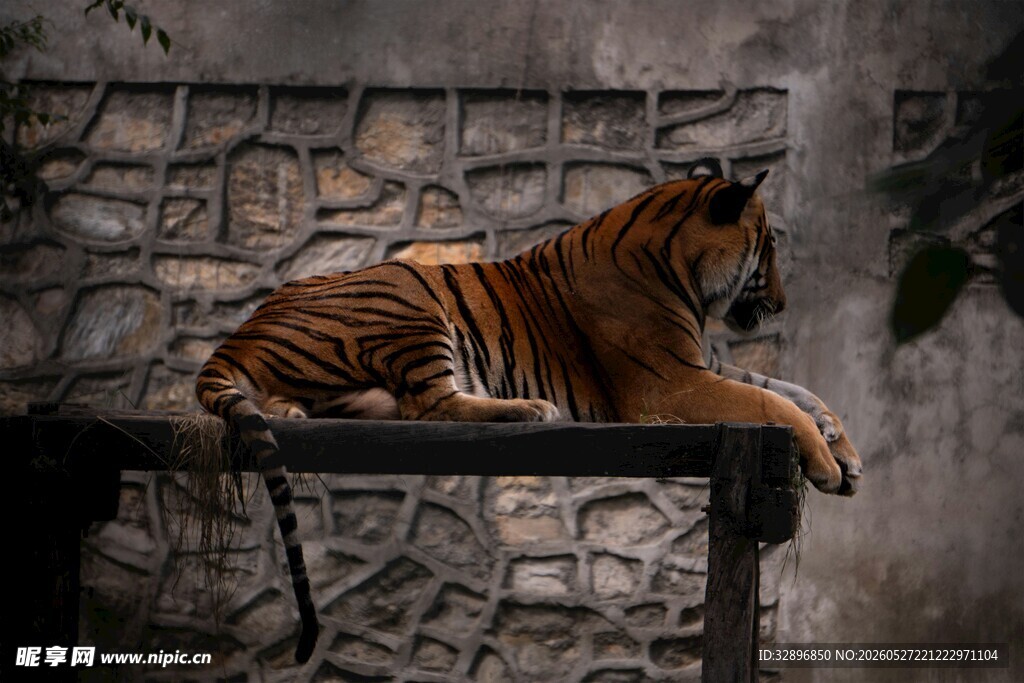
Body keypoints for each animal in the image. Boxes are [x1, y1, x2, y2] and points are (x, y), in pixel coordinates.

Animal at [195, 157, 862, 662]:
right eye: (767, 248)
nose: (781, 304)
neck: (684, 274)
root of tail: (242, 330)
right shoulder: (668, 384)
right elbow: (770, 398)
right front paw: (827, 466)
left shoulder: (700, 367)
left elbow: (791, 388)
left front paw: (844, 450)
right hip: (408, 289)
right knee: (430, 407)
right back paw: (529, 408)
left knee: (377, 405)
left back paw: (301, 413)